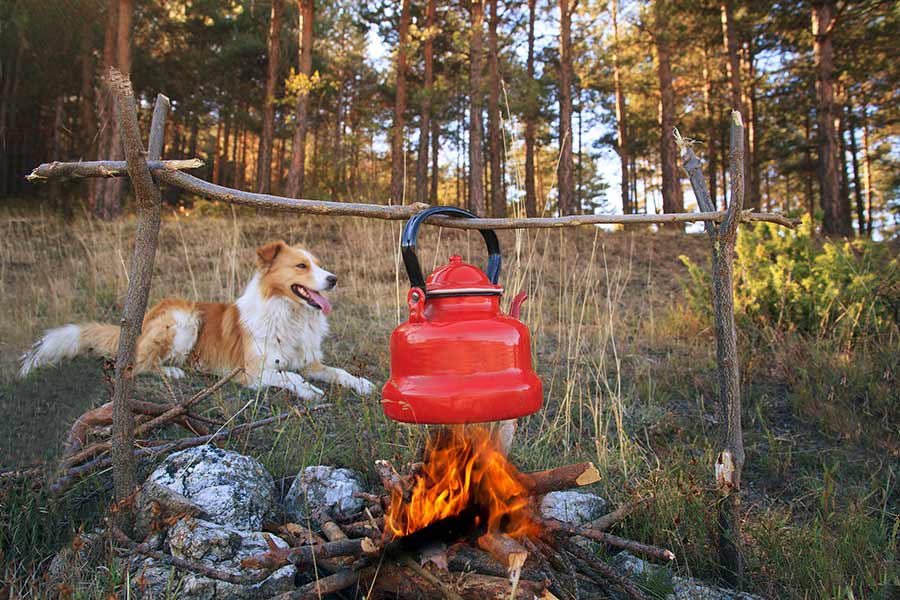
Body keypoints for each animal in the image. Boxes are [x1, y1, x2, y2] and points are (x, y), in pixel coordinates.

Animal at [17, 238, 376, 398]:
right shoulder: (252, 373)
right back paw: (173, 371)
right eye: (301, 266)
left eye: (319, 264)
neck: (290, 314)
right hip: (185, 319)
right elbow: (291, 378)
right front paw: (309, 391)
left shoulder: (310, 361)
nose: (334, 279)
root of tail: (144, 319)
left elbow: (338, 371)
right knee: (139, 364)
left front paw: (362, 383)